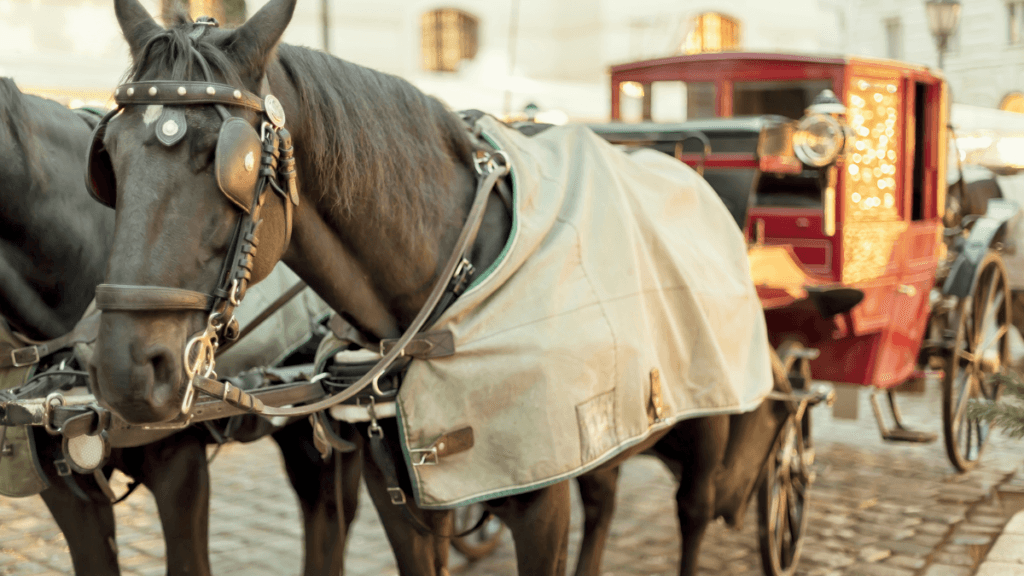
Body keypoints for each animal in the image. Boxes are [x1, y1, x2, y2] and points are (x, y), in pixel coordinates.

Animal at [88, 2, 796, 575]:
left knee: (694, 515)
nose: (125, 370)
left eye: (229, 161)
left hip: (708, 423)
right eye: (109, 160)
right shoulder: (405, 508)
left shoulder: (543, 506)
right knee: (605, 498)